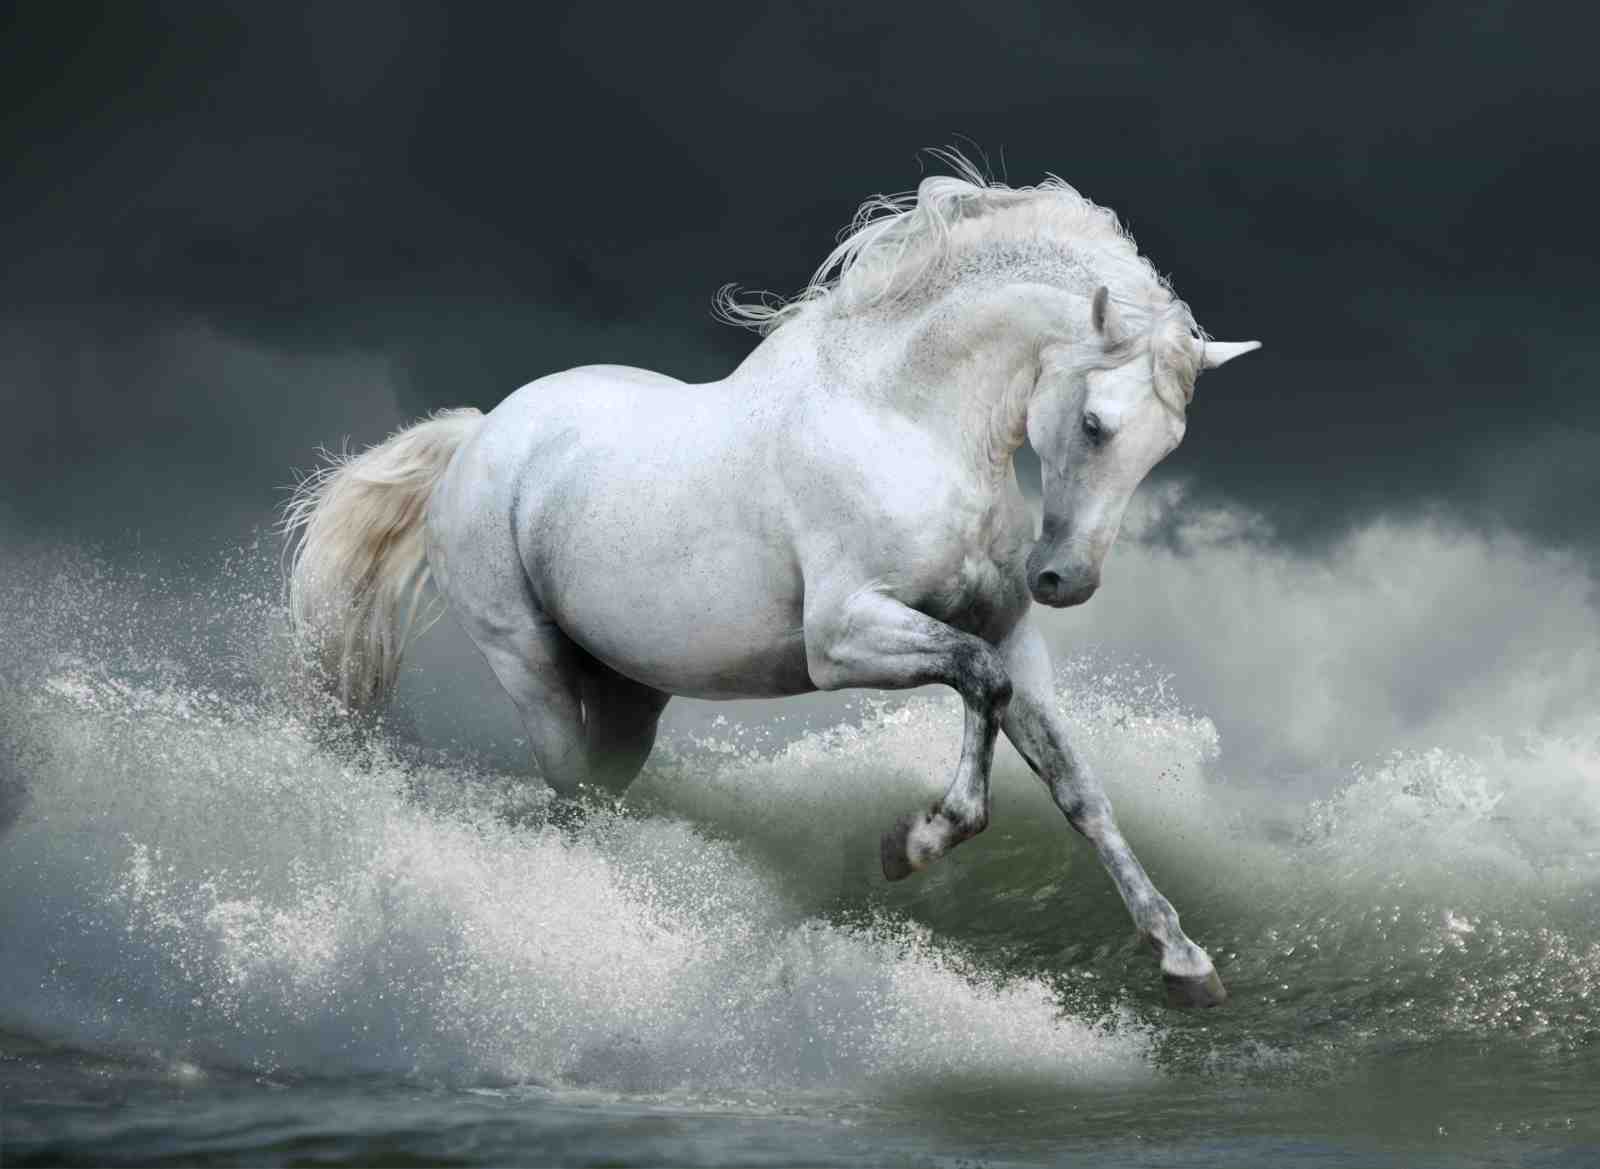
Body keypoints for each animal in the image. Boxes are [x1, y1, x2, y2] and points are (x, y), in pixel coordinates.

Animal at [284, 153, 1259, 1008]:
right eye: (1095, 422)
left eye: (1166, 444)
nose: (1064, 579)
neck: (904, 420)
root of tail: (478, 434)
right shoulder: (843, 638)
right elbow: (979, 682)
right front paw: (912, 842)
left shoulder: (1012, 635)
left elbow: (1075, 783)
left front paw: (1184, 961)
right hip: (530, 664)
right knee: (569, 789)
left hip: (629, 696)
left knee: (600, 785)